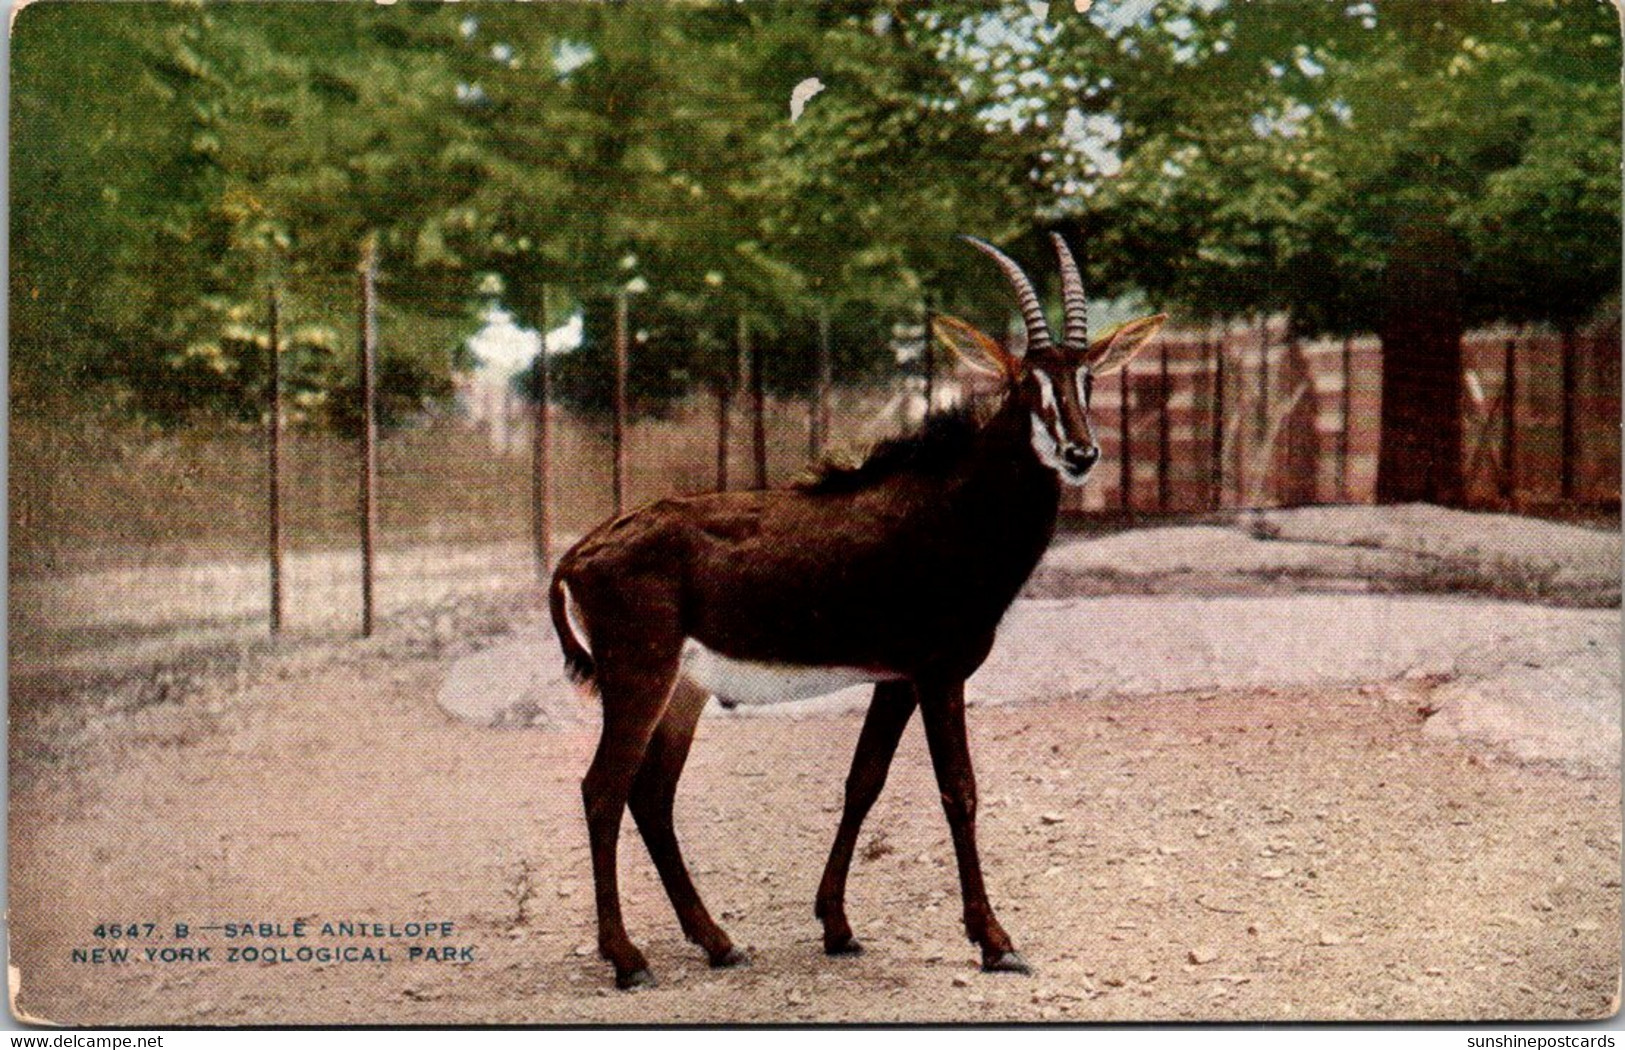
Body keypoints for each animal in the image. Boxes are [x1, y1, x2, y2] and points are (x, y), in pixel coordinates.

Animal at [552, 234, 1163, 994]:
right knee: (603, 791)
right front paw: (994, 942)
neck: (952, 508)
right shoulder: (938, 674)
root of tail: (580, 552)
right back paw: (628, 959)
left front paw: (837, 927)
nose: (1082, 453)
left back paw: (718, 942)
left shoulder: (895, 680)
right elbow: (959, 791)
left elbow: (862, 783)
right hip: (638, 679)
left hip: (681, 692)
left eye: (1086, 381)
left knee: (652, 796)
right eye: (1028, 384)